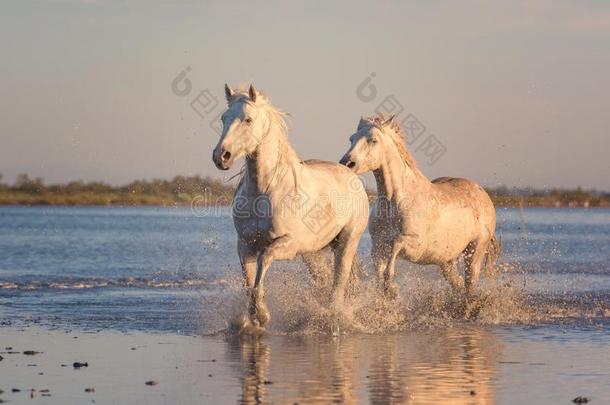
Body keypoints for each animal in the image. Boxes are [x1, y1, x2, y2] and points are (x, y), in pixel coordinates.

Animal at [211, 83, 368, 326]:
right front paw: (252, 318)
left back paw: (333, 315)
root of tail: (351, 175)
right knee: (324, 281)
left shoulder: (287, 244)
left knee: (338, 283)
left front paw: (262, 314)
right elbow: (249, 282)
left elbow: (264, 260)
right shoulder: (245, 245)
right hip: (314, 252)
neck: (263, 193)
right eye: (224, 118)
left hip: (347, 242)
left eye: (248, 119)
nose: (222, 156)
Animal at [338, 113, 498, 296]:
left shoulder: (414, 246)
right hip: (446, 261)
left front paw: (391, 288)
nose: (347, 163)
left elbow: (395, 246)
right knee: (458, 284)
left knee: (470, 284)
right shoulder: (378, 246)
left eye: (373, 140)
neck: (394, 202)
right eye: (351, 139)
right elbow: (379, 273)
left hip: (475, 251)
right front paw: (386, 293)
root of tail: (483, 195)